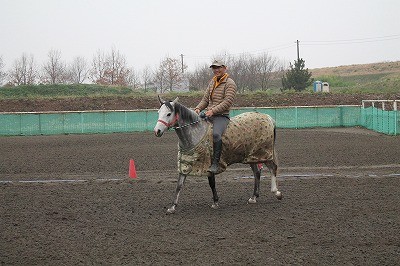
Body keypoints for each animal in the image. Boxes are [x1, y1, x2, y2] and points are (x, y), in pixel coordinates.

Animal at [153, 96, 282, 214]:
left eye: (169, 114)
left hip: (265, 154)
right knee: (257, 173)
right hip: (252, 156)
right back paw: (254, 197)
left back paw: (276, 192)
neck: (196, 133)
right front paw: (172, 207)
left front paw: (215, 202)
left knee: (272, 168)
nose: (157, 131)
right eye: (159, 112)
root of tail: (268, 117)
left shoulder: (209, 165)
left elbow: (212, 183)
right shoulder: (185, 163)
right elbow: (179, 185)